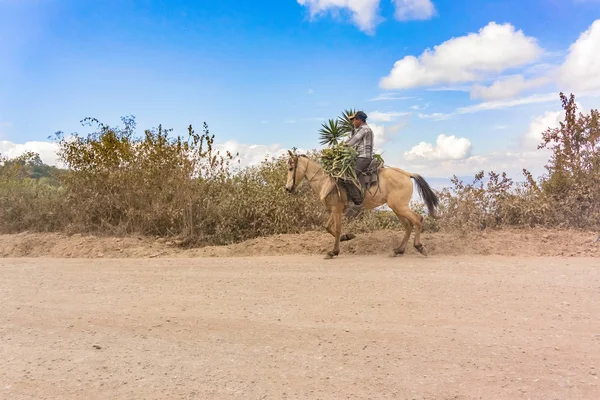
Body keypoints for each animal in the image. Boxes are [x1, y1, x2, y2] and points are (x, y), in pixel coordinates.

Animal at [284, 150, 438, 260]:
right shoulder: (335, 209)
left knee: (417, 219)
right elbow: (327, 227)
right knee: (408, 225)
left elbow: (337, 229)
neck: (326, 181)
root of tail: (407, 174)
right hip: (397, 208)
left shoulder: (337, 209)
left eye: (291, 168)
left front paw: (333, 252)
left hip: (400, 206)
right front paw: (346, 237)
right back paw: (398, 250)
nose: (287, 188)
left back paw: (419, 247)